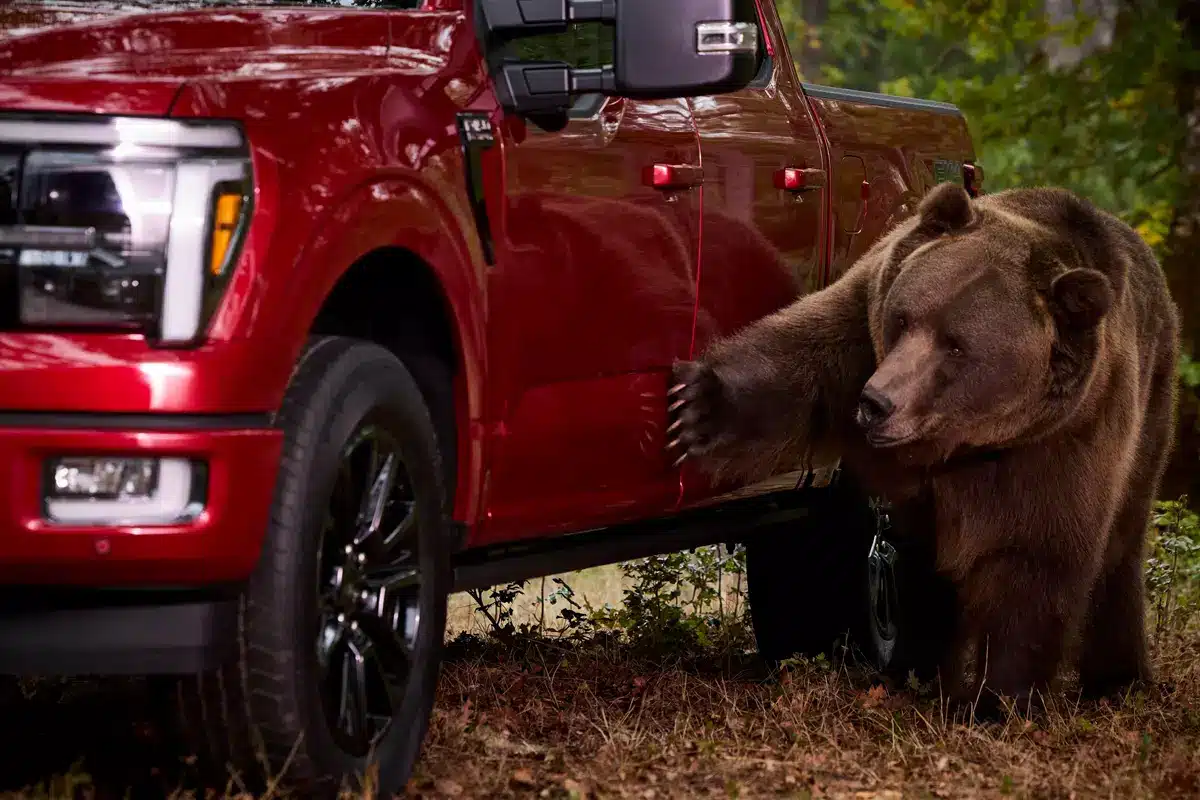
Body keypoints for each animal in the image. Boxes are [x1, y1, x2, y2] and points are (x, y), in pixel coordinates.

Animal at [667, 182, 1180, 716]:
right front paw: (695, 405)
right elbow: (798, 368)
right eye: (904, 318)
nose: (876, 402)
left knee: (1120, 549)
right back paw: (919, 666)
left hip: (1150, 409)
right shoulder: (861, 334)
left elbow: (1033, 558)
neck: (955, 441)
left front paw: (996, 699)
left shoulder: (1058, 441)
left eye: (956, 344)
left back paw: (1118, 679)